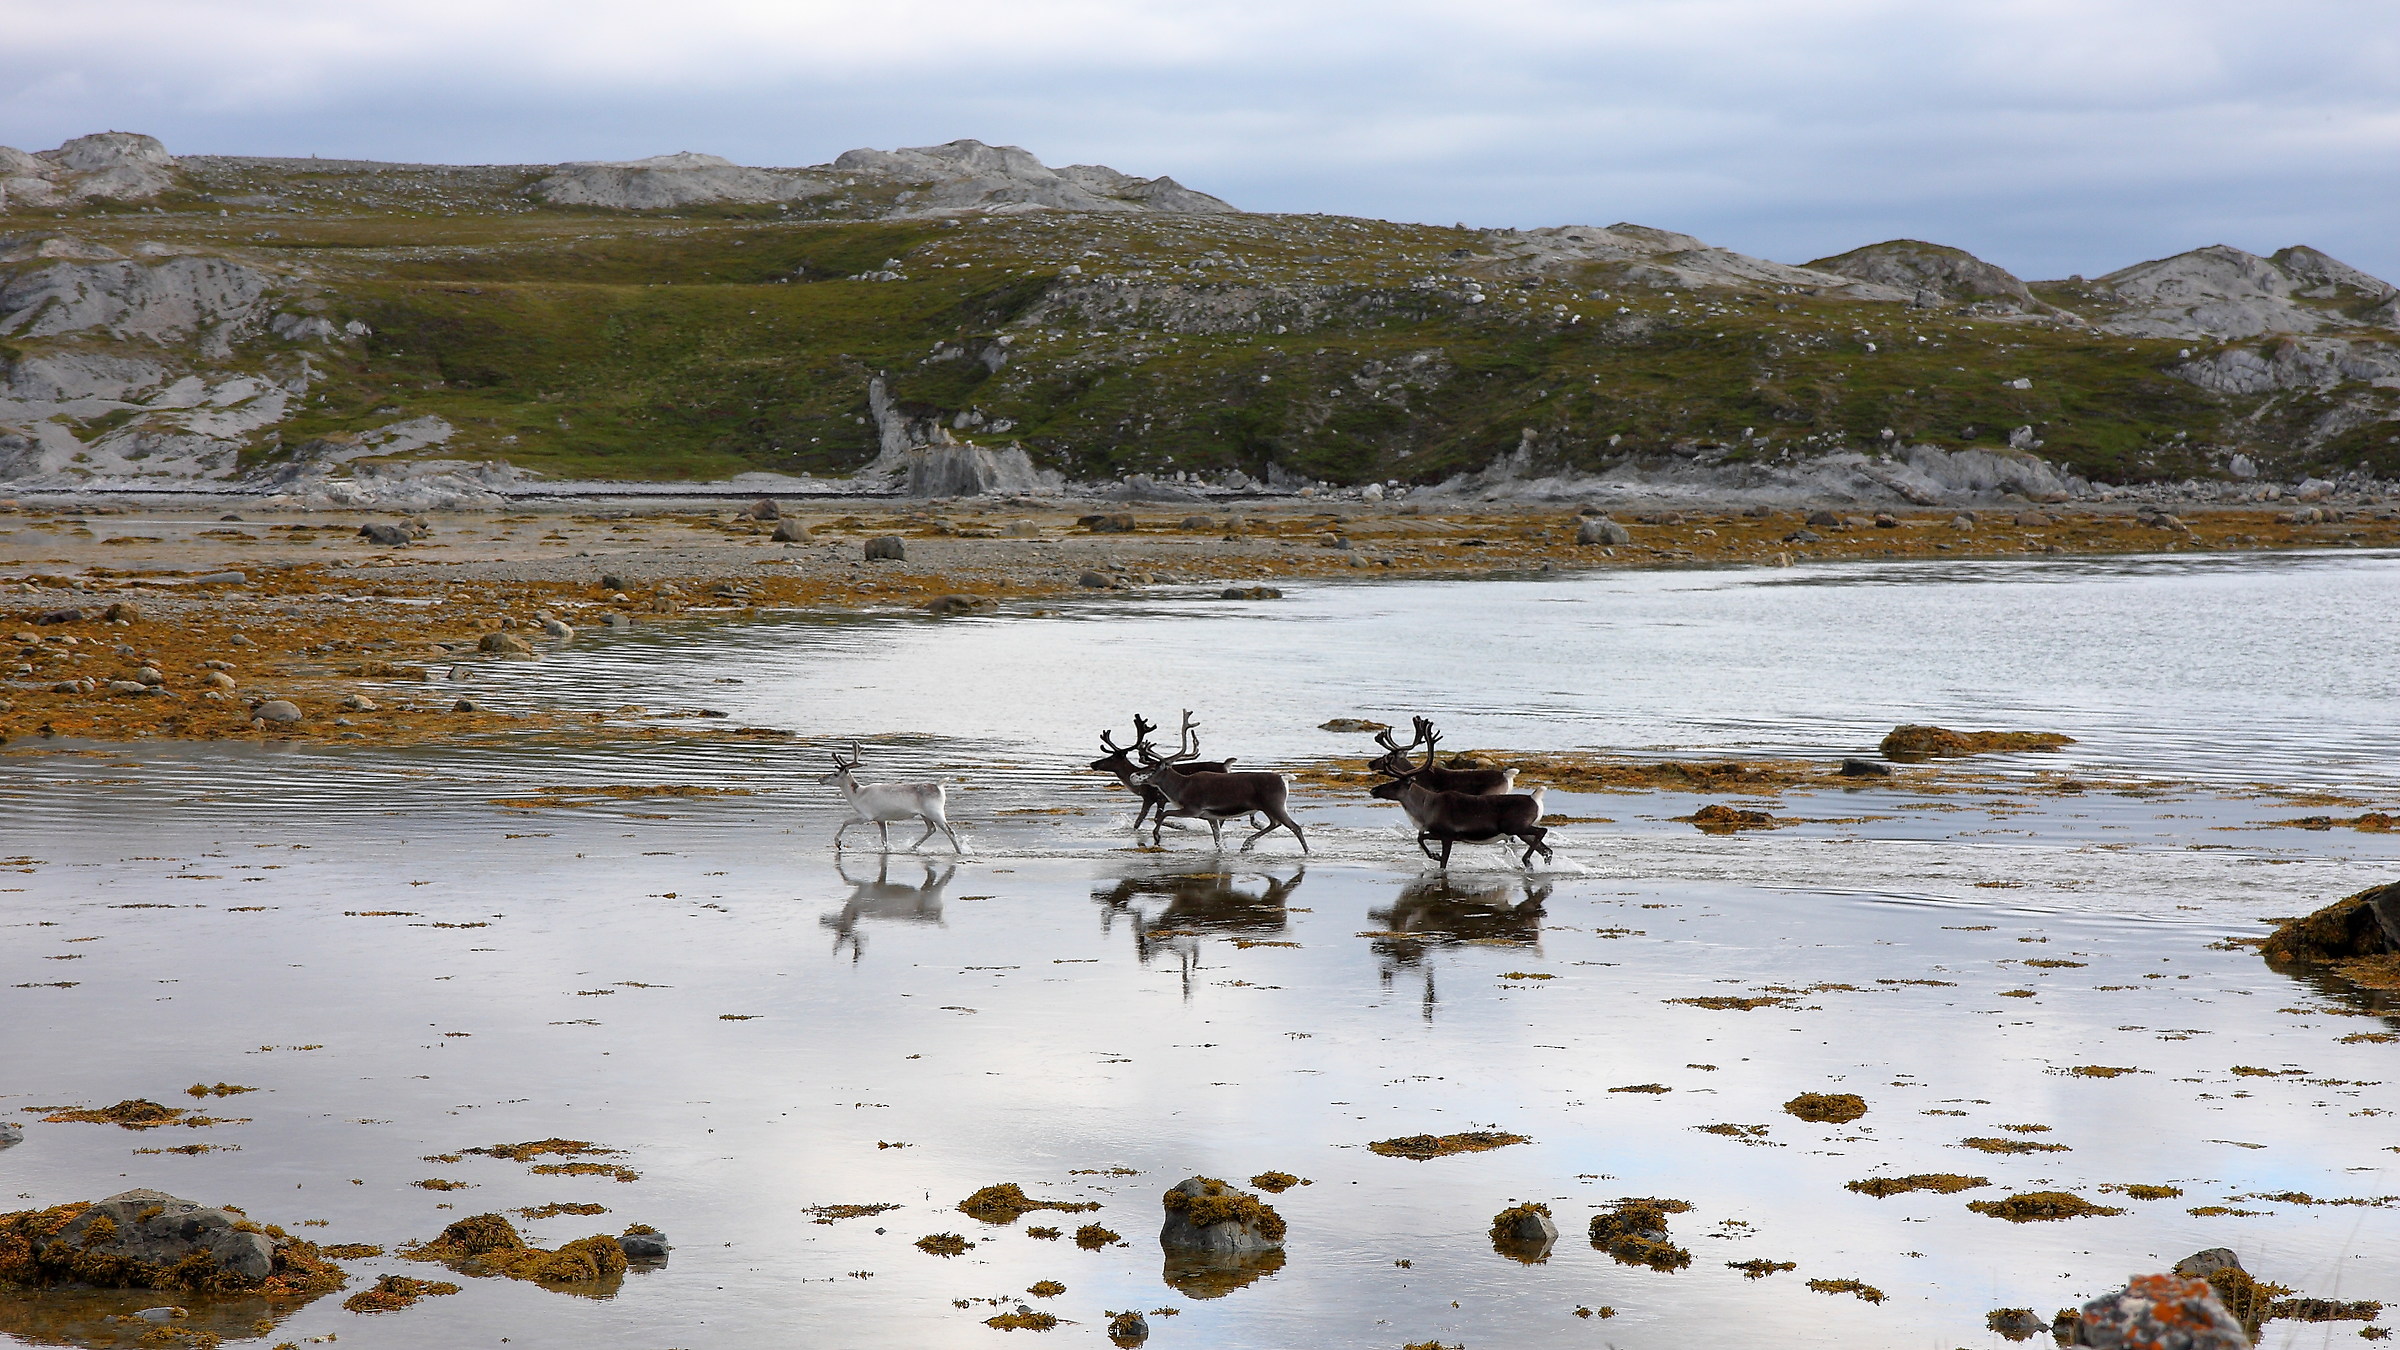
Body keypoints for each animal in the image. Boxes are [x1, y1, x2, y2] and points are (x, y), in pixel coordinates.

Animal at [819, 742, 963, 853]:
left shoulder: (867, 816)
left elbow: (846, 821)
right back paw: (912, 847)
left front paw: (838, 842)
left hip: (935, 812)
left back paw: (959, 851)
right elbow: (884, 840)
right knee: (931, 829)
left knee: (950, 831)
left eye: (835, 774)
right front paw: (888, 850)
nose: (820, 779)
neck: (857, 795)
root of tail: (939, 786)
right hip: (924, 814)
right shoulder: (881, 819)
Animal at [1088, 714, 1241, 834]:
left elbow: (1149, 819)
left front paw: (1178, 826)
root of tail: (1225, 765)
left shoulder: (1156, 797)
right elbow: (1142, 821)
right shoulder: (1152, 799)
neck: (1139, 788)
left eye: (1111, 757)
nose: (1093, 764)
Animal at [1133, 711, 1309, 853]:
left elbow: (1164, 814)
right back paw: (1246, 844)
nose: (1133, 775)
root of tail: (1283, 778)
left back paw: (1306, 852)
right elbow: (1218, 840)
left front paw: (1156, 836)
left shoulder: (1193, 809)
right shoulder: (1210, 816)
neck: (1180, 788)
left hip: (1274, 804)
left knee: (1294, 827)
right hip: (1269, 807)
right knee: (1275, 823)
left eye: (1152, 768)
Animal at [1369, 724, 1550, 867]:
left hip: (1516, 826)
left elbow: (1440, 859)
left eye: (1395, 783)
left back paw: (1526, 859)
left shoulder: (1447, 834)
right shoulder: (1437, 832)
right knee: (1545, 848)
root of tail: (1535, 798)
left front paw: (1436, 857)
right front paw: (1434, 855)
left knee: (1542, 831)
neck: (1425, 807)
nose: (1373, 790)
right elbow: (1420, 838)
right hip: (1522, 832)